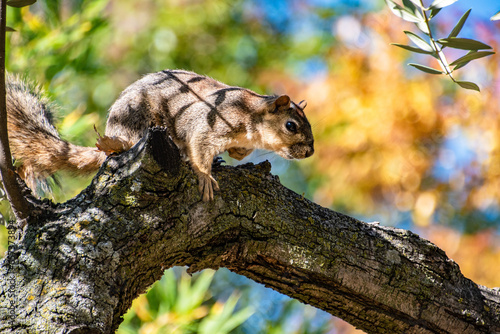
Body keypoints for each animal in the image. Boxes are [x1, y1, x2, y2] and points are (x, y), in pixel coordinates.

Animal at [5, 70, 314, 201]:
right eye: (291, 126)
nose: (310, 151)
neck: (251, 117)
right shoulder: (209, 124)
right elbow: (199, 147)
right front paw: (205, 176)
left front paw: (236, 154)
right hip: (136, 121)